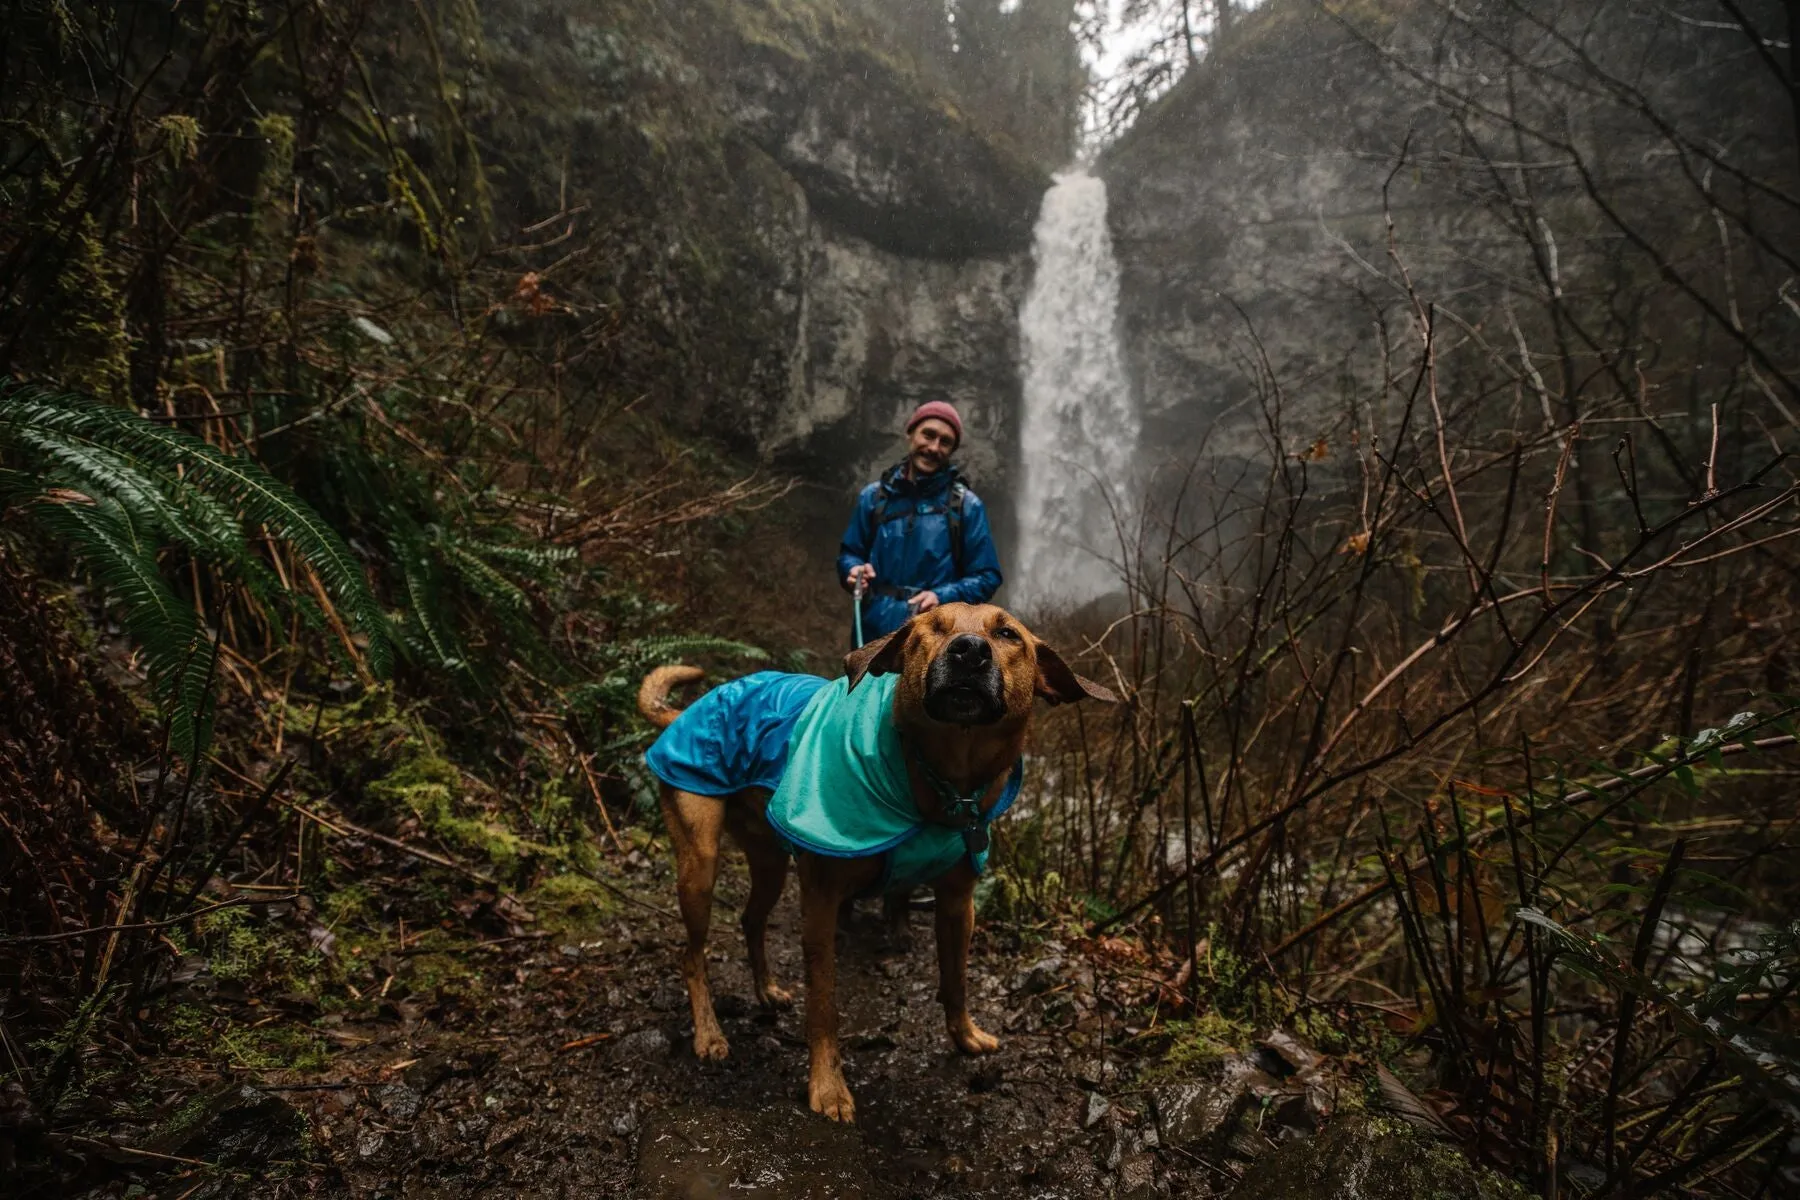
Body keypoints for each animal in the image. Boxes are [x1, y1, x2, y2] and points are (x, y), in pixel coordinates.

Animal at [633, 604, 1108, 1122]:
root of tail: (685, 712)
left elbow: (956, 979)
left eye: (1007, 634)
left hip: (770, 864)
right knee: (691, 955)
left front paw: (965, 1035)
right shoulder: (821, 903)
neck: (942, 784)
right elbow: (823, 1004)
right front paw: (828, 1086)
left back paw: (766, 989)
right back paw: (709, 1033)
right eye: (930, 628)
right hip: (699, 864)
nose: (969, 651)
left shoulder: (958, 904)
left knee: (750, 920)